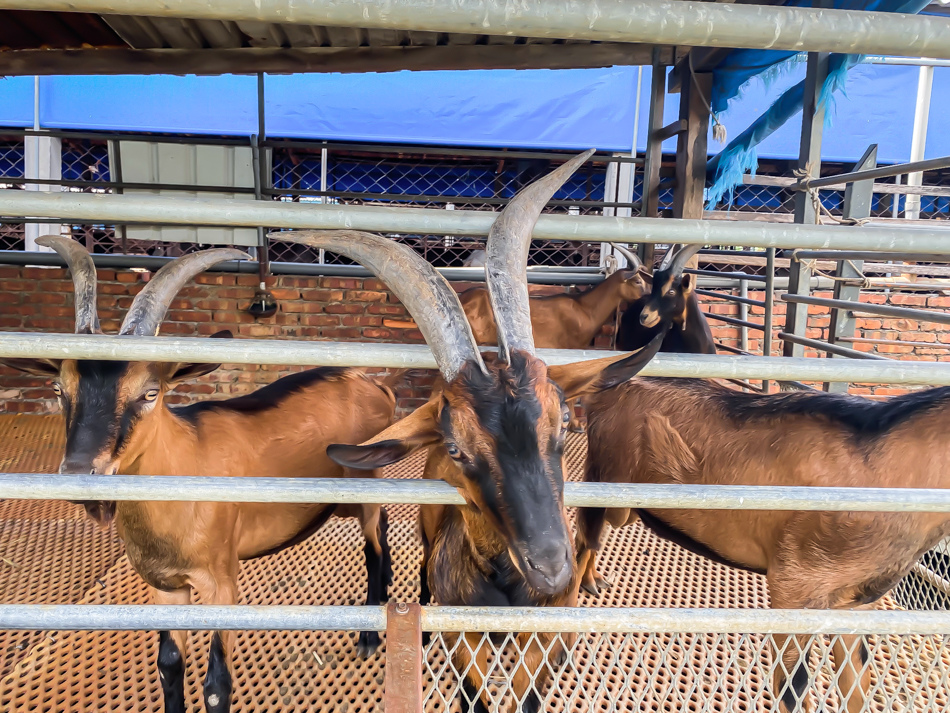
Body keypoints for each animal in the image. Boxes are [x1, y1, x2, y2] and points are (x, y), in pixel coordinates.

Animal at [0, 238, 398, 712]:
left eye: (150, 393)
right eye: (60, 389)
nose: (80, 472)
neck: (184, 464)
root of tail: (375, 385)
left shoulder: (222, 581)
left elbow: (216, 684)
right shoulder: (164, 584)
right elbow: (169, 664)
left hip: (366, 484)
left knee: (374, 543)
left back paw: (370, 634)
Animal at [576, 376, 950, 708]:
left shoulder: (858, 601)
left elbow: (857, 686)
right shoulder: (794, 584)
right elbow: (793, 689)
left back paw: (594, 580)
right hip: (605, 480)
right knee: (584, 532)